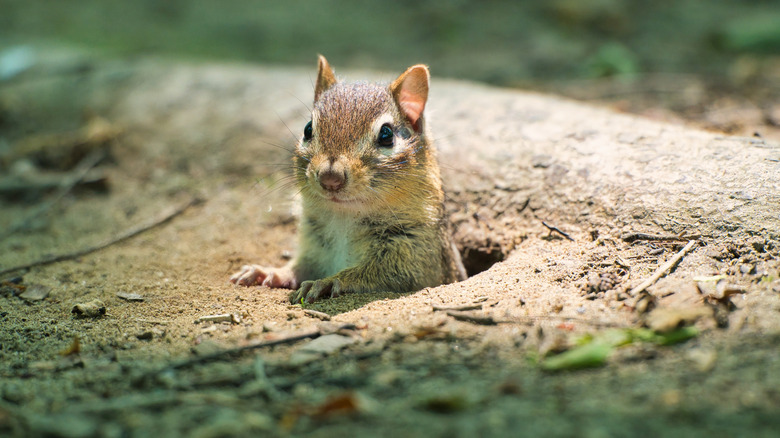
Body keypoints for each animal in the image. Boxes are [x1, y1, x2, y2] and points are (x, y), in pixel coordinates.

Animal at [231, 55, 466, 303]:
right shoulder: (312, 245)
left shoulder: (415, 253)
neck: (344, 217)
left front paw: (326, 281)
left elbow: (372, 273)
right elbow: (298, 268)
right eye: (307, 129)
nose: (330, 178)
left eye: (386, 134)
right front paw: (267, 271)